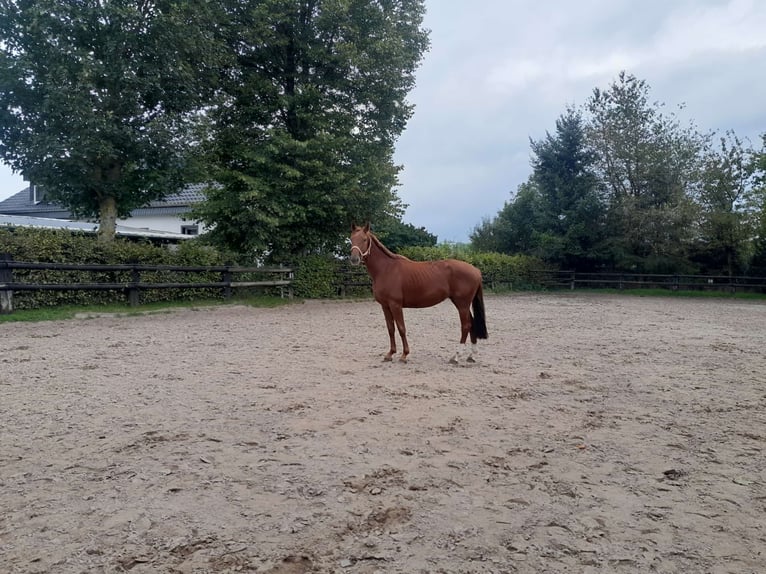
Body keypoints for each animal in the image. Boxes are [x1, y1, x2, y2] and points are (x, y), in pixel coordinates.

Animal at [352, 224, 488, 364]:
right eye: (351, 239)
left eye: (364, 239)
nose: (354, 259)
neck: (386, 269)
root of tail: (476, 270)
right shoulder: (385, 306)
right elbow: (391, 329)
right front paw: (390, 354)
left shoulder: (395, 305)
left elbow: (401, 328)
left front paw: (404, 355)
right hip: (462, 304)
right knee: (471, 324)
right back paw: (471, 356)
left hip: (462, 304)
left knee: (466, 326)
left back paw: (455, 357)